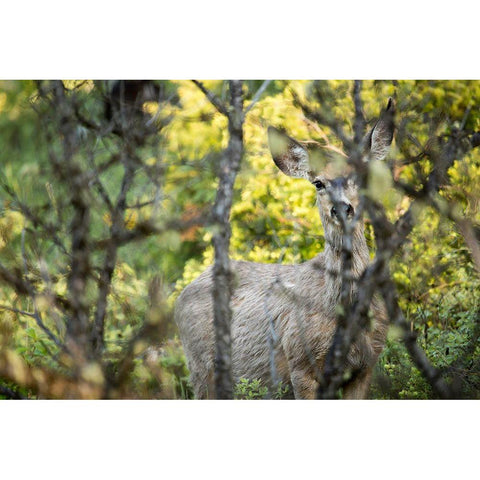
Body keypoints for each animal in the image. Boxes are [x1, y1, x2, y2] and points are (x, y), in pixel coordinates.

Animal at [175, 98, 394, 398]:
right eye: (318, 183)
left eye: (362, 177)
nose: (341, 208)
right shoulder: (299, 363)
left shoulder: (366, 366)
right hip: (200, 369)